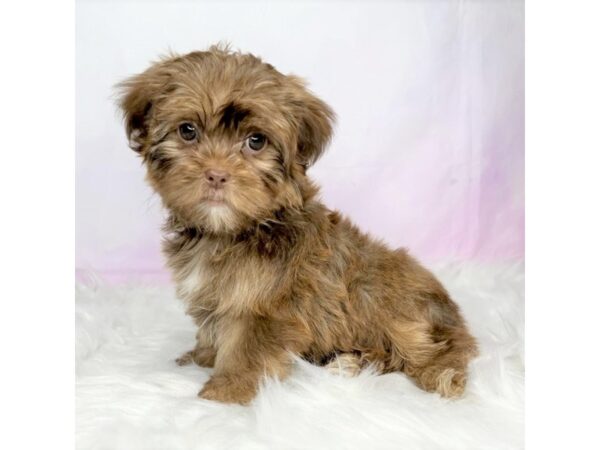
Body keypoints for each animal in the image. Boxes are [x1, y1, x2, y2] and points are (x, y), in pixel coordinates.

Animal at [117, 44, 478, 404]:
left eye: (256, 141)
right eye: (188, 131)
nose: (217, 174)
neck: (231, 230)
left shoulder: (269, 305)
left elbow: (247, 346)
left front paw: (226, 392)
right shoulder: (216, 292)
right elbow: (212, 324)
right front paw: (203, 356)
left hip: (388, 299)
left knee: (428, 347)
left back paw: (437, 373)